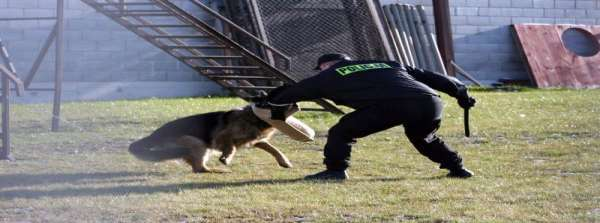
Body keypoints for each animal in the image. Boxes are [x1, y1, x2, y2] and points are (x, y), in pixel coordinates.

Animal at [129, 103, 292, 173]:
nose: (296, 104)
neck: (253, 118)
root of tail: (154, 135)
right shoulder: (222, 137)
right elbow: (231, 146)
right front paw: (226, 158)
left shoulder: (256, 140)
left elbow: (272, 148)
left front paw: (284, 161)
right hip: (198, 143)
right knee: (198, 169)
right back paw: (217, 170)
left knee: (196, 167)